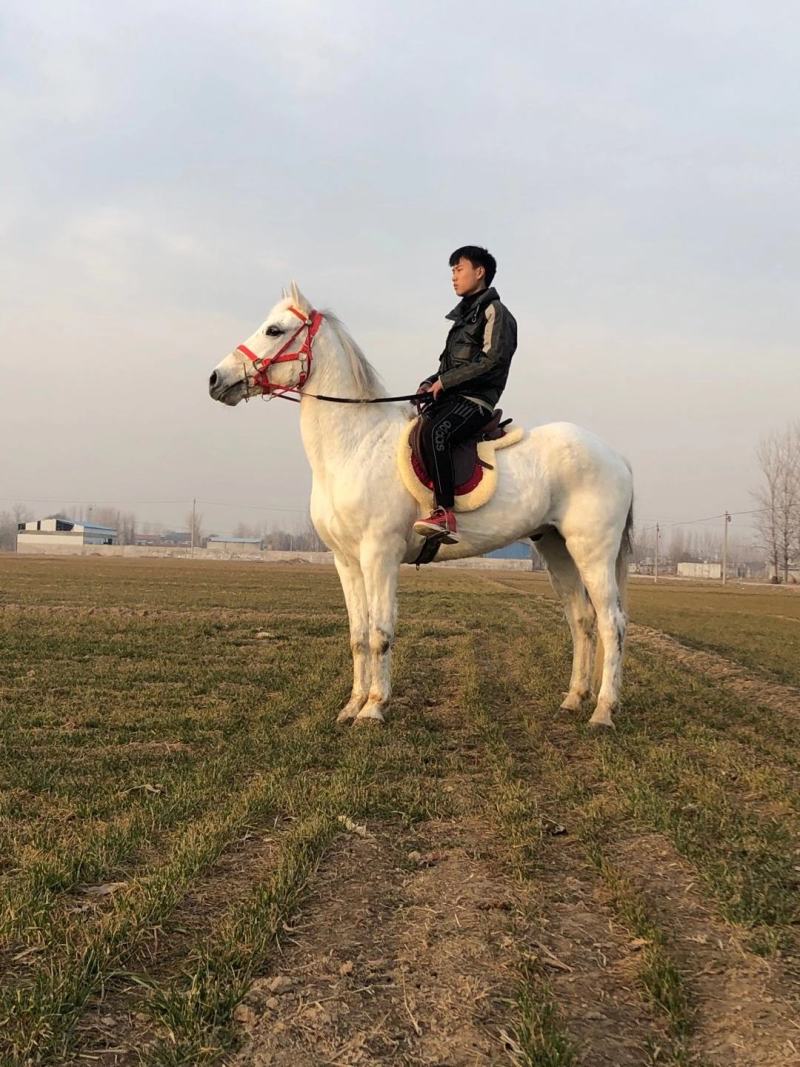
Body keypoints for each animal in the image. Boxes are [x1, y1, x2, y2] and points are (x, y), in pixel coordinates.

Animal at [208, 283, 634, 728]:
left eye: (274, 330)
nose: (216, 379)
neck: (356, 444)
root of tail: (616, 457)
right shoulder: (347, 561)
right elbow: (358, 636)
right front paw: (351, 706)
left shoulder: (380, 555)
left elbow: (380, 632)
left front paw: (373, 708)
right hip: (556, 548)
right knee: (582, 621)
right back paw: (574, 699)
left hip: (593, 552)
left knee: (612, 624)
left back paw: (603, 710)